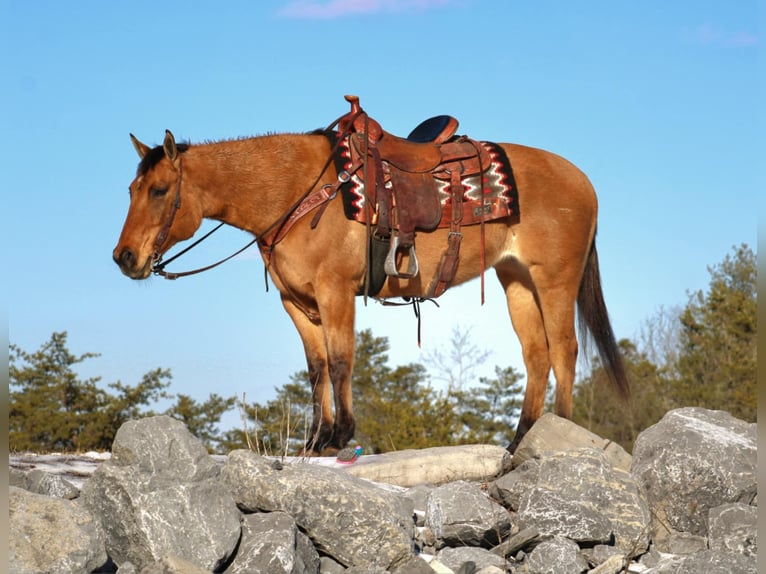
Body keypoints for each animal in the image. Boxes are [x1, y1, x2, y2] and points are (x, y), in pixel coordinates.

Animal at [115, 95, 632, 454]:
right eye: (132, 189)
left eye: (159, 190)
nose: (124, 257)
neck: (298, 192)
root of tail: (583, 182)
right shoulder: (296, 303)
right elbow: (317, 369)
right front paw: (315, 440)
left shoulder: (336, 292)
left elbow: (342, 361)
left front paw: (340, 435)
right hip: (516, 281)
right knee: (537, 355)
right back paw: (521, 440)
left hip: (554, 280)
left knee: (564, 350)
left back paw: (557, 433)